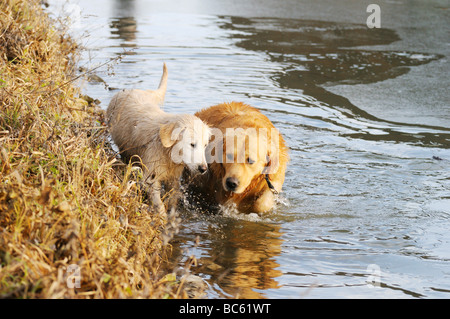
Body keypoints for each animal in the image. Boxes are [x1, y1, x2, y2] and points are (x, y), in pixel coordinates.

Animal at [107, 63, 211, 214]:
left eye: (205, 145)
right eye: (192, 144)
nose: (203, 168)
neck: (168, 154)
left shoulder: (173, 178)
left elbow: (172, 199)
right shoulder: (151, 176)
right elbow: (158, 201)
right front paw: (161, 214)